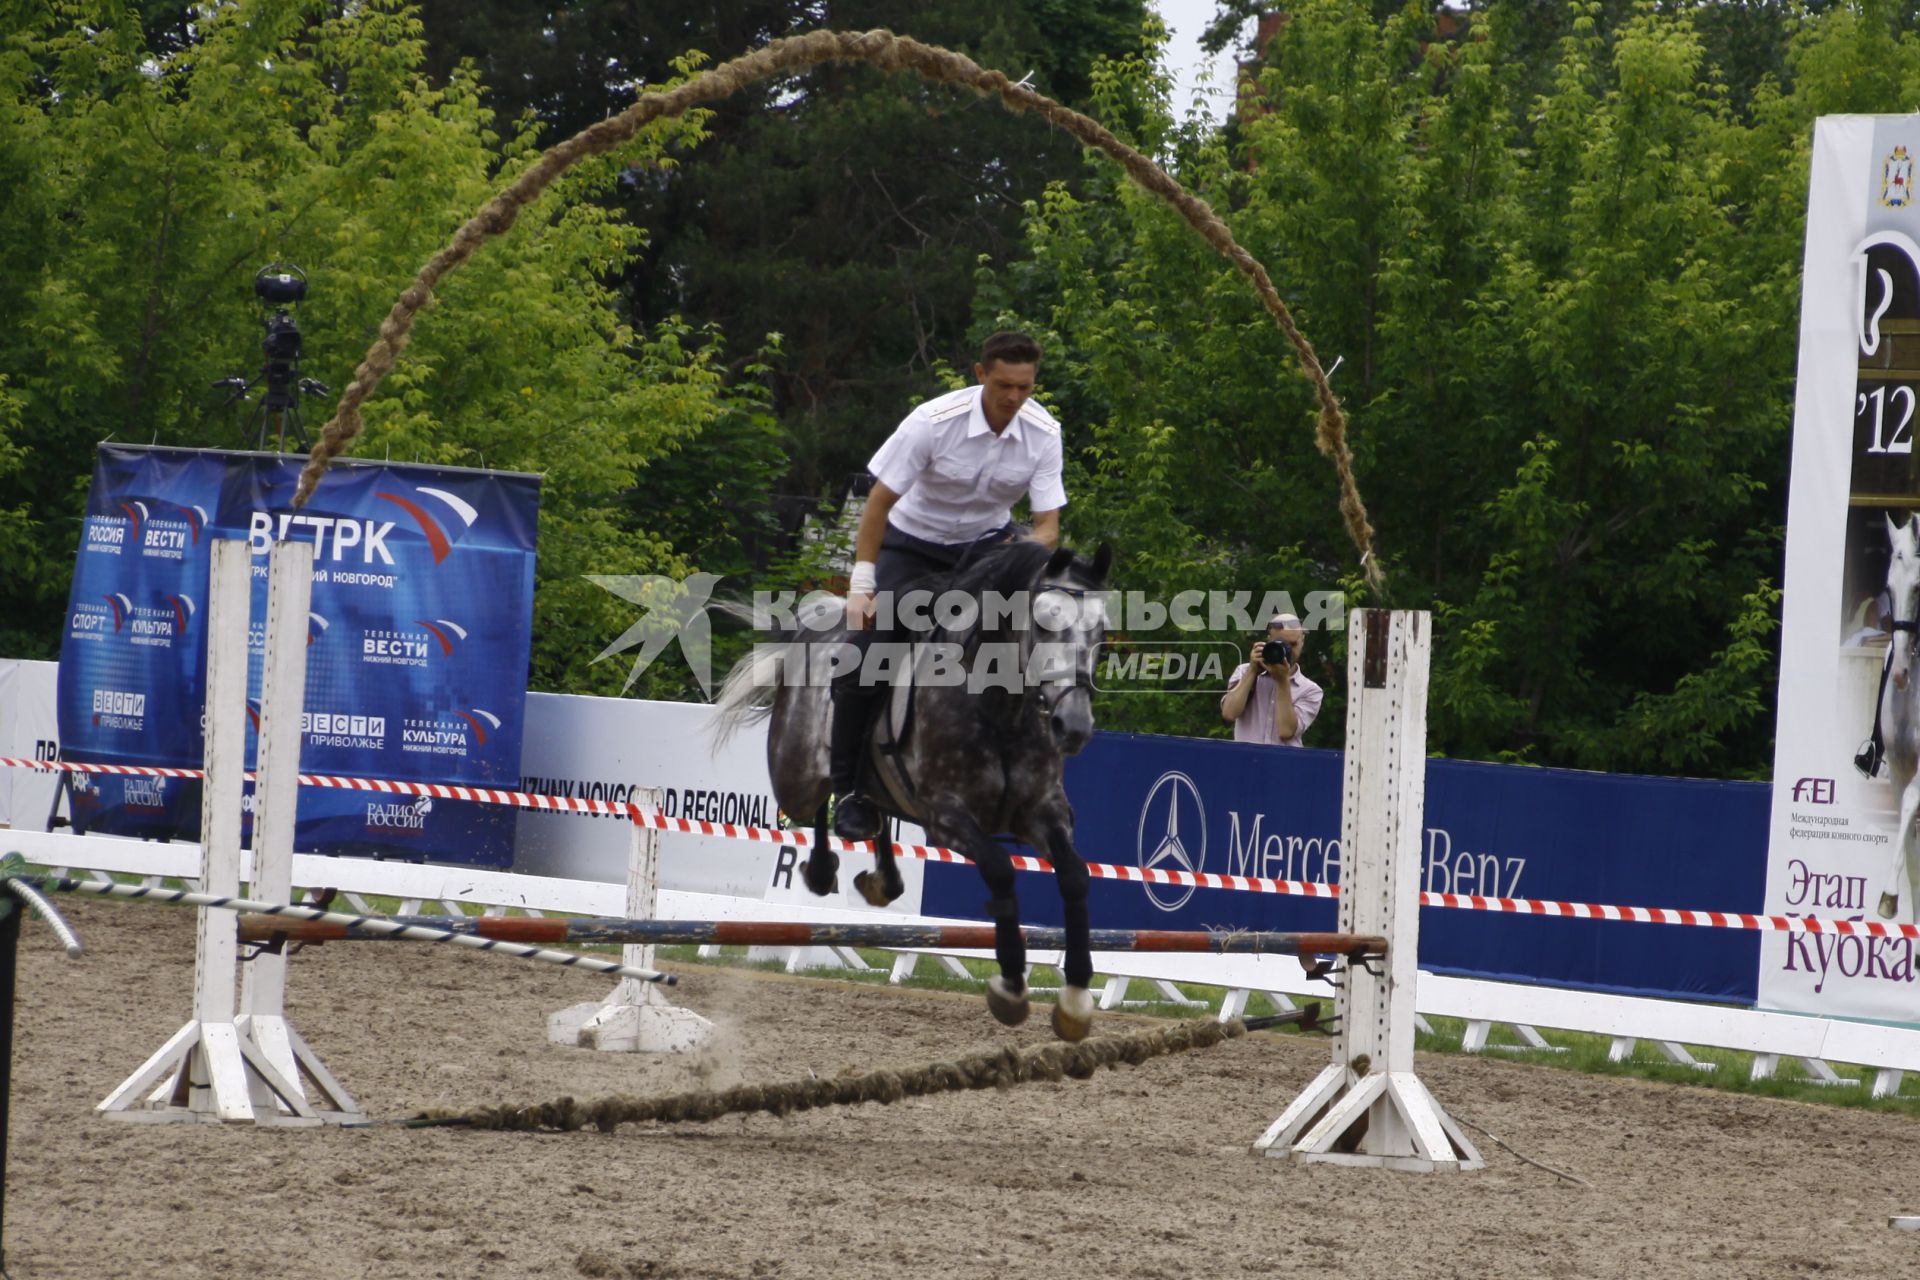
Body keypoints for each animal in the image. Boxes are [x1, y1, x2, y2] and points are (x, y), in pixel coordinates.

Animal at [718, 541, 1113, 1043]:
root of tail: (811, 630)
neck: (1000, 705)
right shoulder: (947, 817)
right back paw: (825, 868)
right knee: (820, 804)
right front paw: (1009, 986)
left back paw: (882, 878)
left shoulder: (1044, 811)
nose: (1073, 727)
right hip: (796, 775)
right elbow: (1001, 870)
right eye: (1044, 622)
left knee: (876, 814)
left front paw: (1076, 998)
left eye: (1101, 630)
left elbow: (1075, 876)